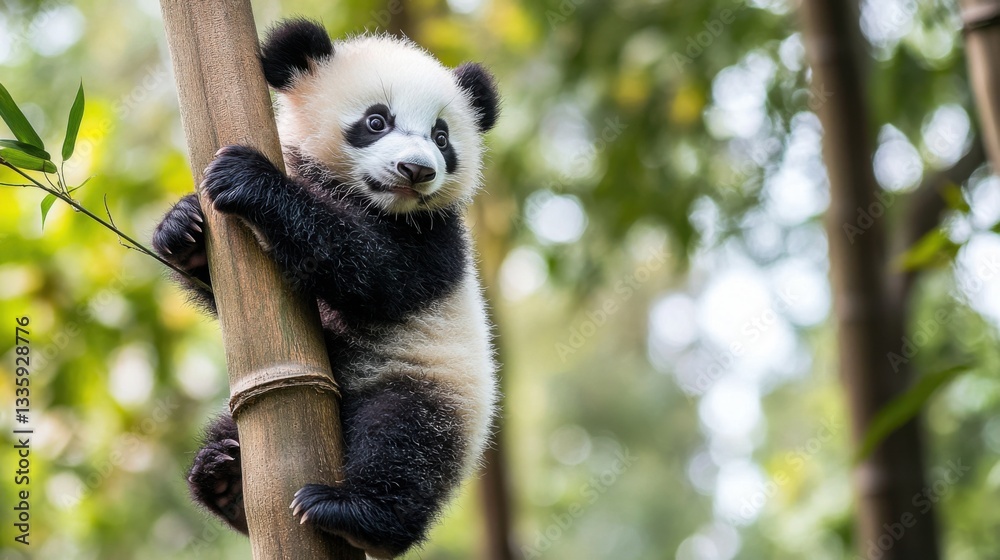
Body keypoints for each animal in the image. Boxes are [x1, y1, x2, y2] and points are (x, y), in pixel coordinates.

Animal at [151, 19, 500, 558]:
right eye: (376, 121)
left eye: (442, 137)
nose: (417, 170)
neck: (363, 196)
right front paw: (181, 230)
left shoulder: (436, 238)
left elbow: (373, 271)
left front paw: (250, 180)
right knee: (232, 434)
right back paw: (224, 478)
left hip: (432, 382)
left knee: (407, 442)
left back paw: (357, 515)